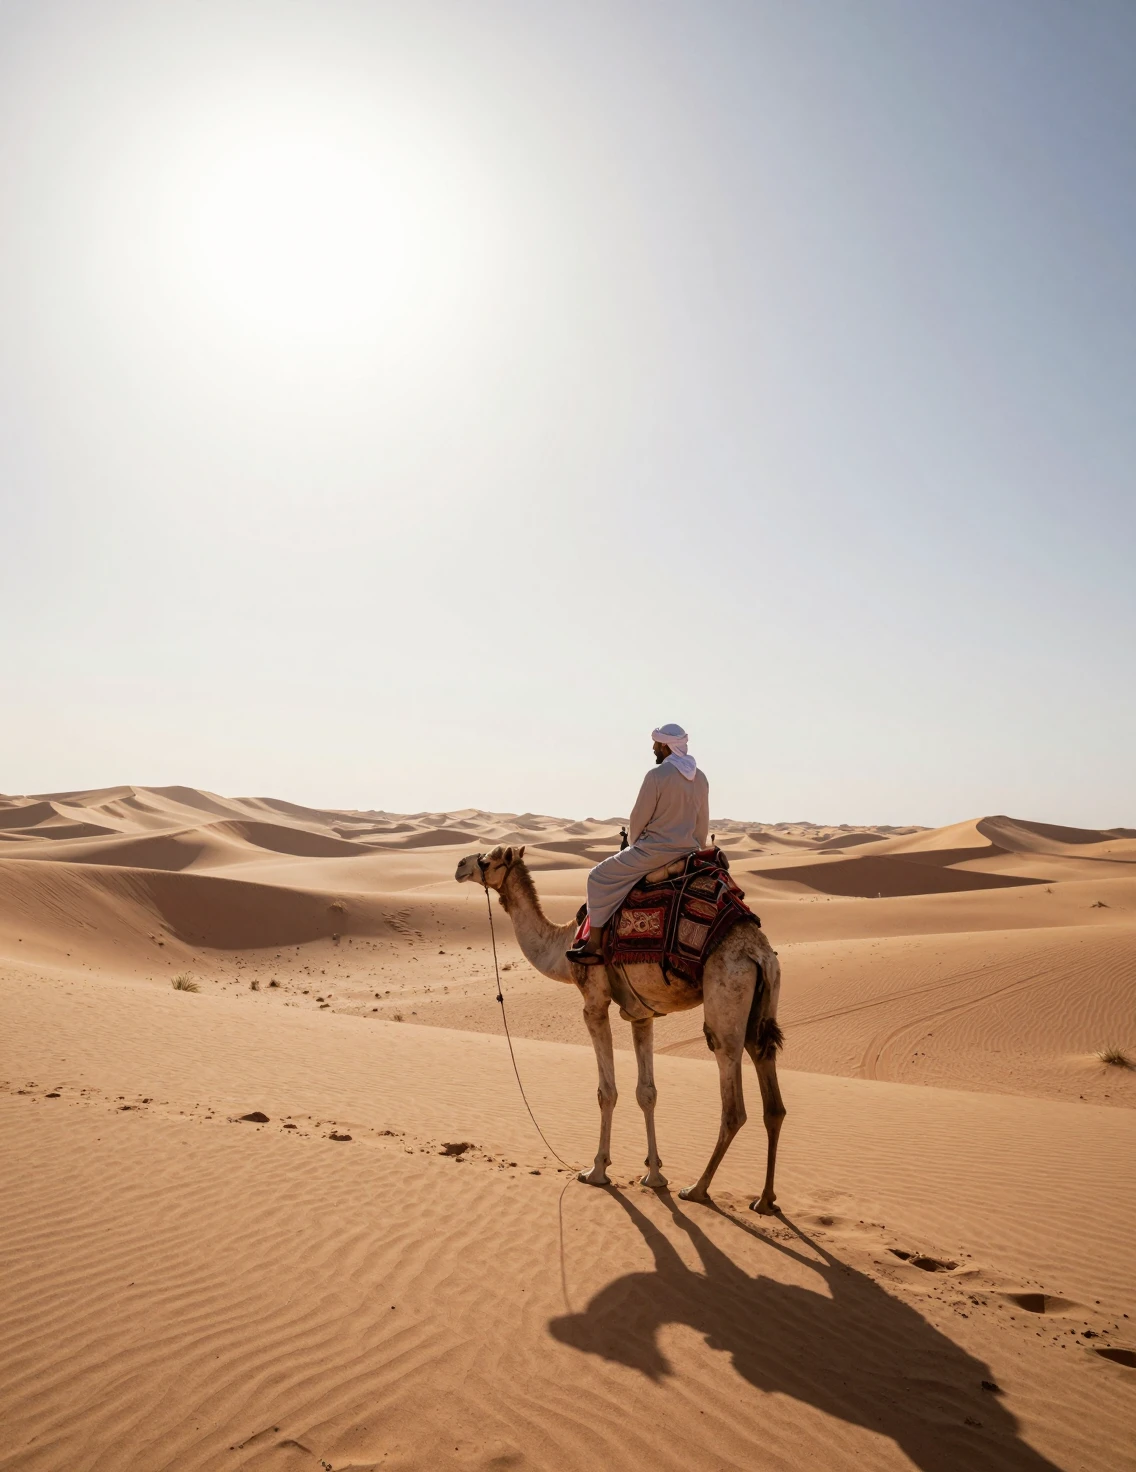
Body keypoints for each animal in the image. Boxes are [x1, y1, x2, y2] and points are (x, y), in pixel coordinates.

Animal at [455, 845, 786, 1212]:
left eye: (486, 861)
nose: (460, 865)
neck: (563, 944)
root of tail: (759, 953)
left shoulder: (594, 1004)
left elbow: (607, 1092)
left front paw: (596, 1170)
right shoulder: (642, 1014)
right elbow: (647, 1093)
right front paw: (654, 1174)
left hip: (726, 1000)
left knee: (733, 1106)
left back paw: (698, 1189)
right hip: (761, 1010)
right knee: (772, 1101)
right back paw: (765, 1199)